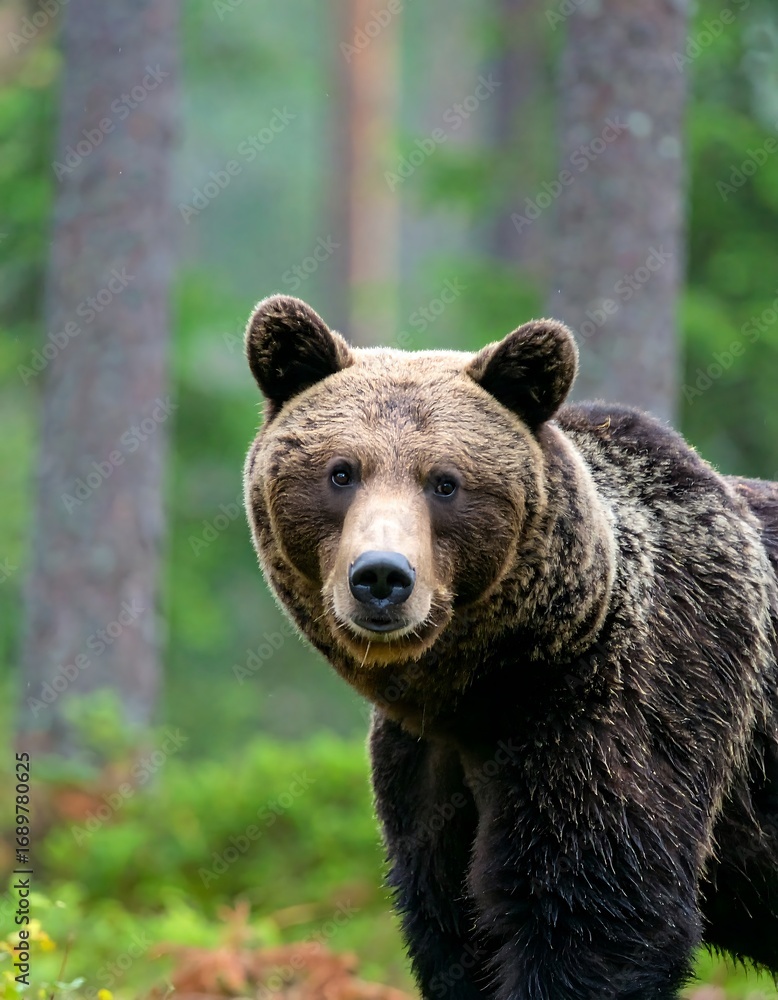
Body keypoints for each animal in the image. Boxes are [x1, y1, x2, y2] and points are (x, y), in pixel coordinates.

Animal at [242, 293, 778, 1000]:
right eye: (341, 472)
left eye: (445, 482)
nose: (382, 578)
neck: (488, 688)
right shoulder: (425, 769)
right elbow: (451, 926)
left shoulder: (625, 700)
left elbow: (596, 911)